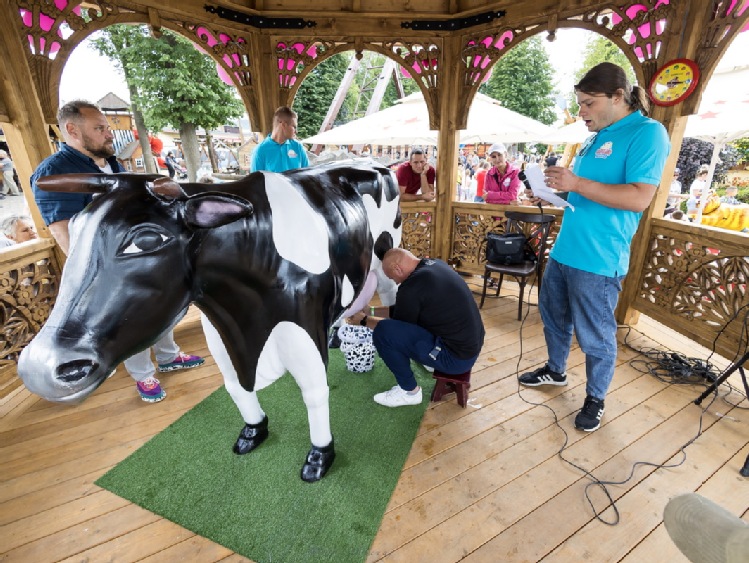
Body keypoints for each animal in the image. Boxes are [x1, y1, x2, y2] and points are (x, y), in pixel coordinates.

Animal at [17, 163, 400, 484]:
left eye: (146, 239)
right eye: (74, 230)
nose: (38, 366)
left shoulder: (301, 331)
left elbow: (315, 394)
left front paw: (320, 457)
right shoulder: (219, 333)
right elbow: (235, 388)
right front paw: (253, 432)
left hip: (388, 263)